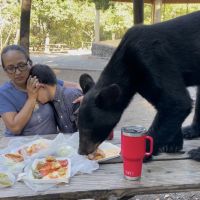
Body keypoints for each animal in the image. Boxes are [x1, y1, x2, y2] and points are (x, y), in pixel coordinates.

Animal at [77, 11, 200, 161]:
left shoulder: (153, 58)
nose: (81, 151)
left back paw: (197, 152)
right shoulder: (143, 82)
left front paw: (144, 152)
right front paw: (172, 144)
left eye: (88, 130)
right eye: (78, 126)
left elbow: (176, 101)